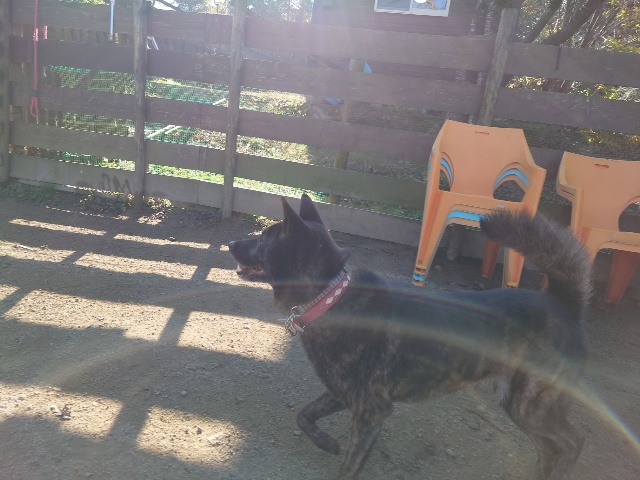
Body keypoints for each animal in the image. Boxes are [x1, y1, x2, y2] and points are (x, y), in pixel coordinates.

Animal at [228, 194, 592, 480]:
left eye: (264, 239)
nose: (231, 243)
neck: (330, 297)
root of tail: (562, 302)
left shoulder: (370, 412)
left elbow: (348, 466)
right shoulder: (343, 395)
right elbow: (303, 415)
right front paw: (327, 442)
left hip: (530, 405)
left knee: (573, 442)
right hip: (520, 407)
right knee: (550, 448)